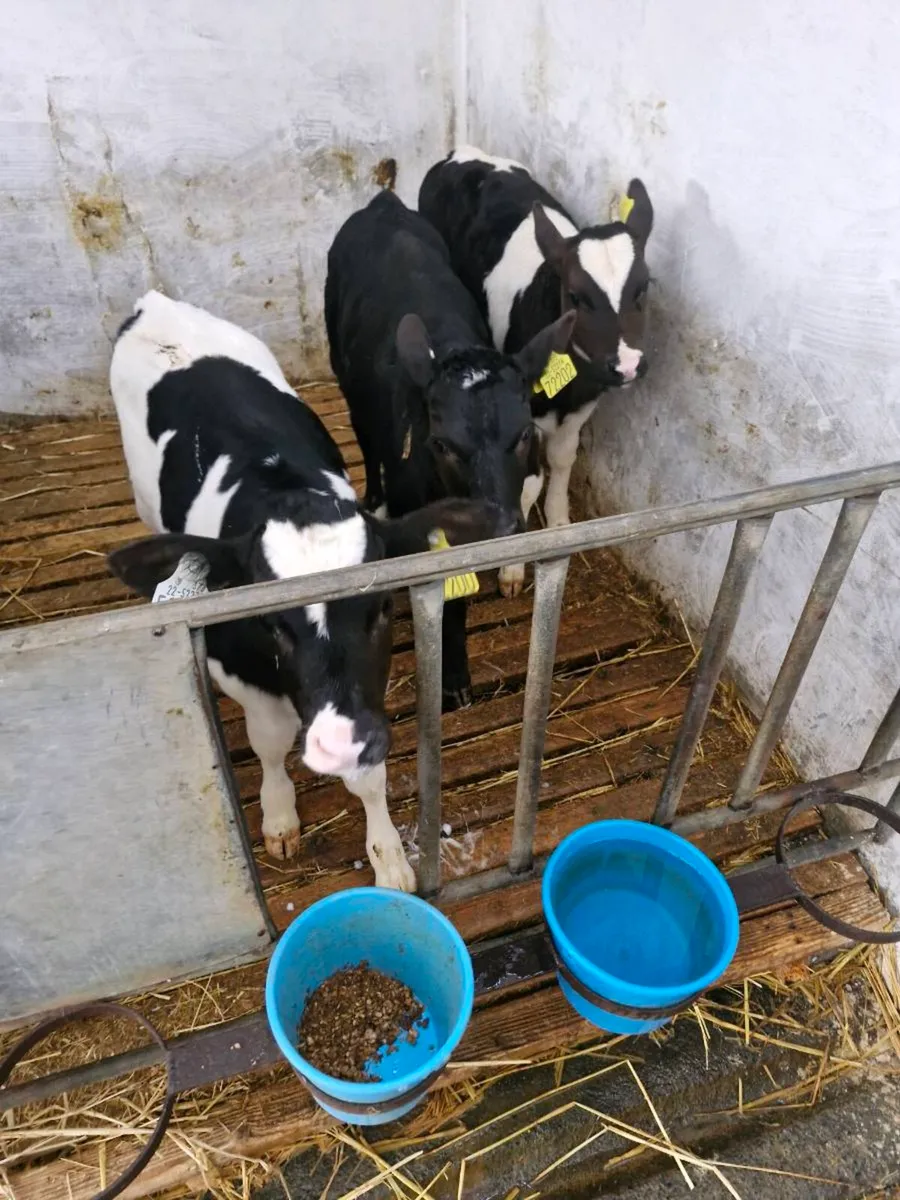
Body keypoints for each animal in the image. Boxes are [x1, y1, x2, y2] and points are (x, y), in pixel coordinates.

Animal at [106, 289, 507, 890]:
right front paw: (278, 815)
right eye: (269, 622)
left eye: (383, 607)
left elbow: (369, 778)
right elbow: (270, 739)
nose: (341, 741)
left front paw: (389, 859)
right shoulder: (238, 669)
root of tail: (155, 301)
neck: (281, 486)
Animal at [324, 189, 575, 710]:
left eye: (525, 433)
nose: (502, 530)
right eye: (441, 443)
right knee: (363, 435)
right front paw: (451, 677)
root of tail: (383, 202)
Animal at [418, 146, 654, 598]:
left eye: (644, 287)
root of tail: (465, 152)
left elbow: (562, 459)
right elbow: (527, 482)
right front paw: (513, 566)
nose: (629, 364)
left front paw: (558, 523)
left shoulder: (584, 403)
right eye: (577, 296)